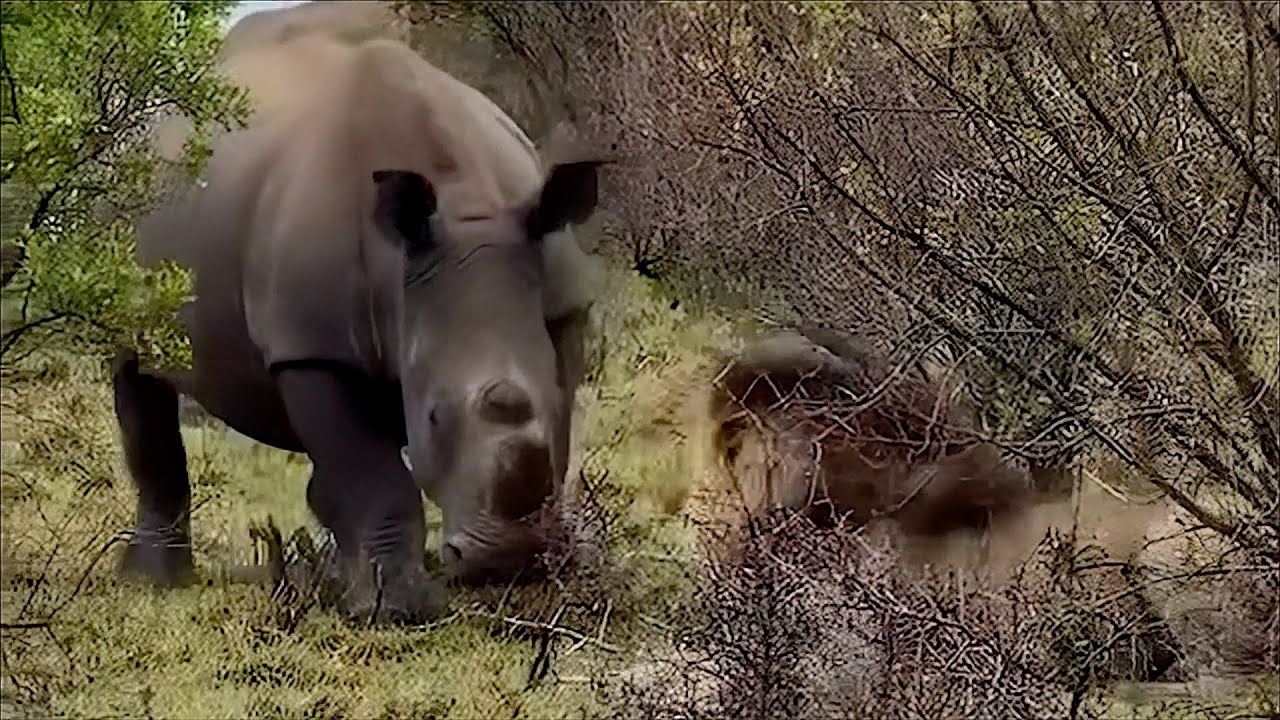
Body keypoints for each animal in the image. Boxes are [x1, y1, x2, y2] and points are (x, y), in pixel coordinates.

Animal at [117, 21, 610, 625]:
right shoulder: (311, 346)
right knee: (137, 381)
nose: (504, 561)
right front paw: (396, 610)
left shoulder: (561, 308)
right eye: (433, 418)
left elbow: (557, 433)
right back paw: (158, 583)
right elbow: (374, 475)